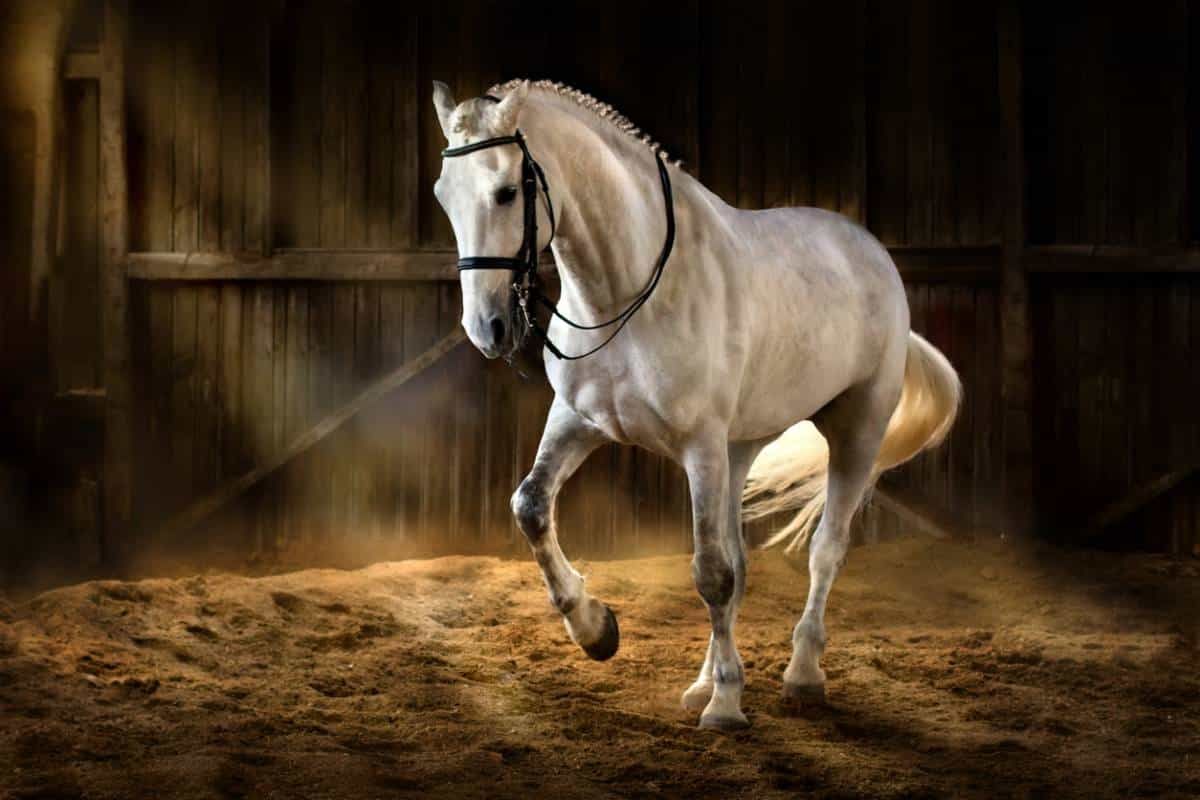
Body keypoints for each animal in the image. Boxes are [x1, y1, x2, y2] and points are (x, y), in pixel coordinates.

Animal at [431, 78, 961, 730]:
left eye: (507, 193)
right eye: (444, 196)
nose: (487, 329)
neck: (629, 293)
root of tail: (872, 253)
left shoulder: (700, 448)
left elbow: (711, 574)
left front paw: (727, 706)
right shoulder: (579, 421)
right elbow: (530, 506)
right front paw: (596, 630)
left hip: (854, 430)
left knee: (825, 551)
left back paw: (801, 674)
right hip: (740, 450)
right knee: (741, 561)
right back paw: (702, 681)